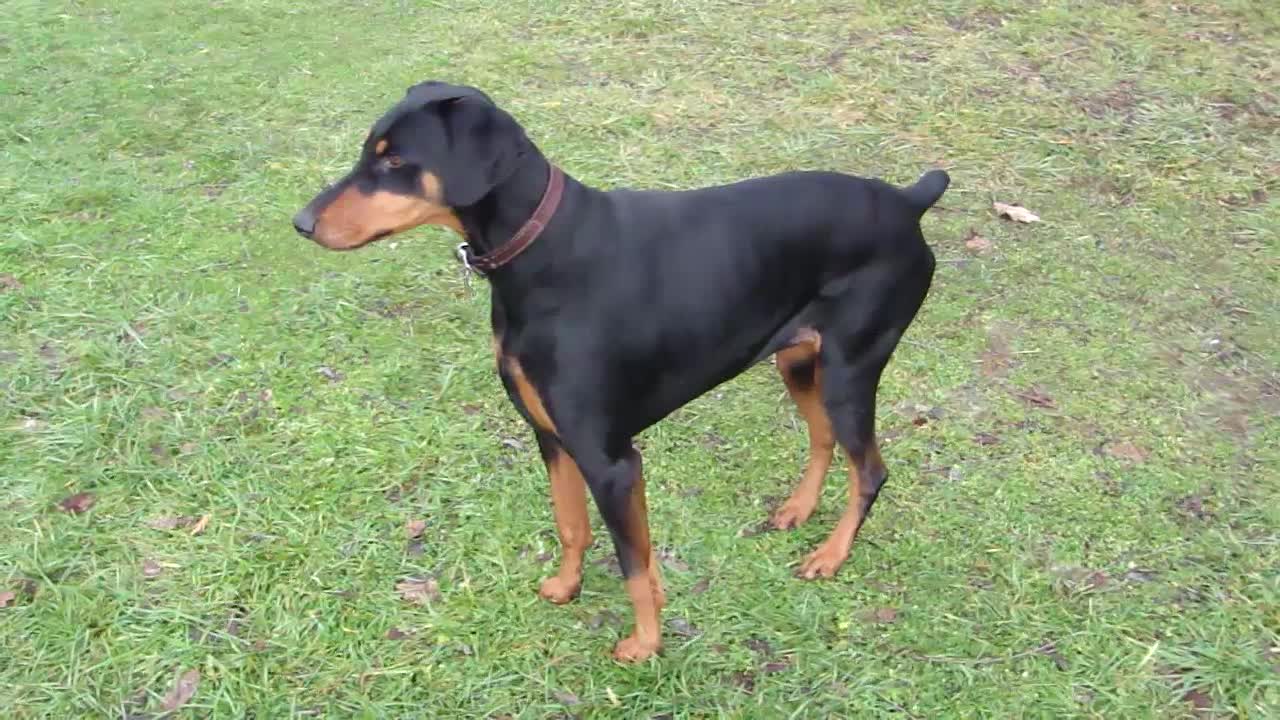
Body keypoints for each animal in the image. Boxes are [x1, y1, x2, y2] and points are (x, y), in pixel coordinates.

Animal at [294, 81, 947, 661]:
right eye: (369, 151)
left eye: (395, 160)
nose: (301, 223)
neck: (543, 253)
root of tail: (906, 201)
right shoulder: (551, 436)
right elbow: (575, 526)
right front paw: (568, 586)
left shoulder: (610, 460)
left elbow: (631, 560)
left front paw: (645, 643)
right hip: (799, 359)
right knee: (822, 436)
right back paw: (798, 510)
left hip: (850, 366)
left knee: (871, 470)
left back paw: (830, 555)